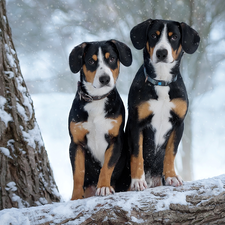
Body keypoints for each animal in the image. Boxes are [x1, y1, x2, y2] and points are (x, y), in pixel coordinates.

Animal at [68, 39, 132, 200]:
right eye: (91, 61)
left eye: (112, 58)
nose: (104, 79)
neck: (97, 99)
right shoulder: (76, 143)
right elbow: (78, 174)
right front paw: (76, 196)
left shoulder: (115, 139)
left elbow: (107, 166)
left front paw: (103, 187)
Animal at [126, 18, 200, 191]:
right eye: (154, 35)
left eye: (174, 37)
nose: (161, 53)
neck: (161, 80)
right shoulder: (136, 123)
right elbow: (137, 154)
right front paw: (138, 180)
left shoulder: (178, 123)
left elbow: (170, 153)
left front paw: (172, 176)